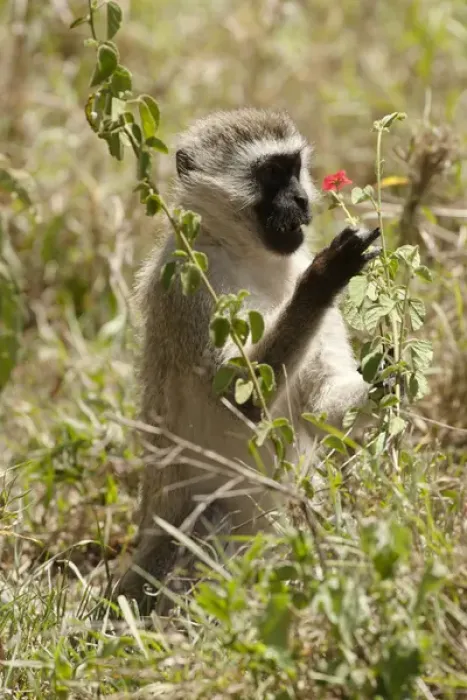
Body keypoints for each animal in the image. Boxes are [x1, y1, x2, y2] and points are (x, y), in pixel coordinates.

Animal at [113, 108, 381, 612]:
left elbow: (320, 403)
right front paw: (325, 276)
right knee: (208, 524)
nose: (301, 199)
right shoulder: (189, 282)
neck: (248, 255)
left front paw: (391, 376)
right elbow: (242, 401)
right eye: (271, 174)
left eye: (294, 168)